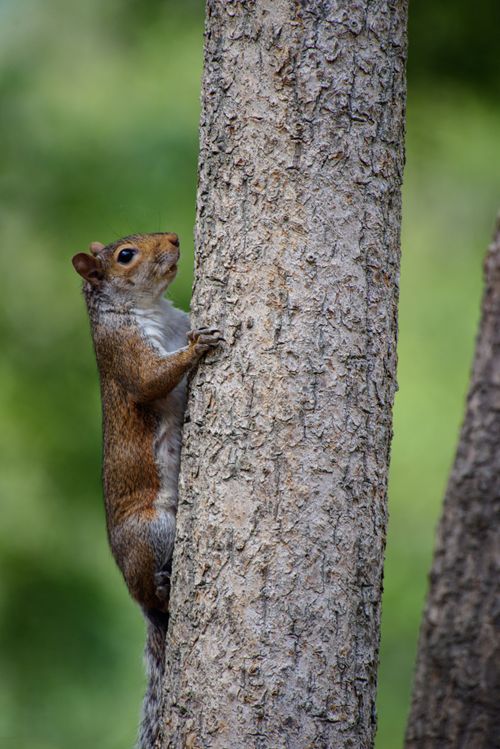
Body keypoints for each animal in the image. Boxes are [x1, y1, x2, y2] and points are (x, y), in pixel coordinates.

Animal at [72, 232, 222, 749]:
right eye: (125, 256)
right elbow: (149, 379)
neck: (150, 306)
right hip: (154, 529)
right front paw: (197, 349)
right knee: (151, 592)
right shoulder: (123, 351)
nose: (175, 237)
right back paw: (161, 588)